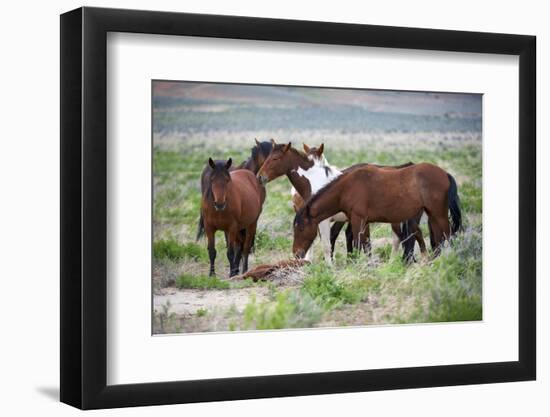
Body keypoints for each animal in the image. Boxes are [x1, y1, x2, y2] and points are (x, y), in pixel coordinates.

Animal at [296, 162, 464, 260]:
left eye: (301, 228)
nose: (297, 254)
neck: (348, 187)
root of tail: (445, 174)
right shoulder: (363, 222)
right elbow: (366, 244)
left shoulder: (358, 220)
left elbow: (359, 243)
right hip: (433, 215)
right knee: (439, 238)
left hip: (439, 214)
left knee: (447, 235)